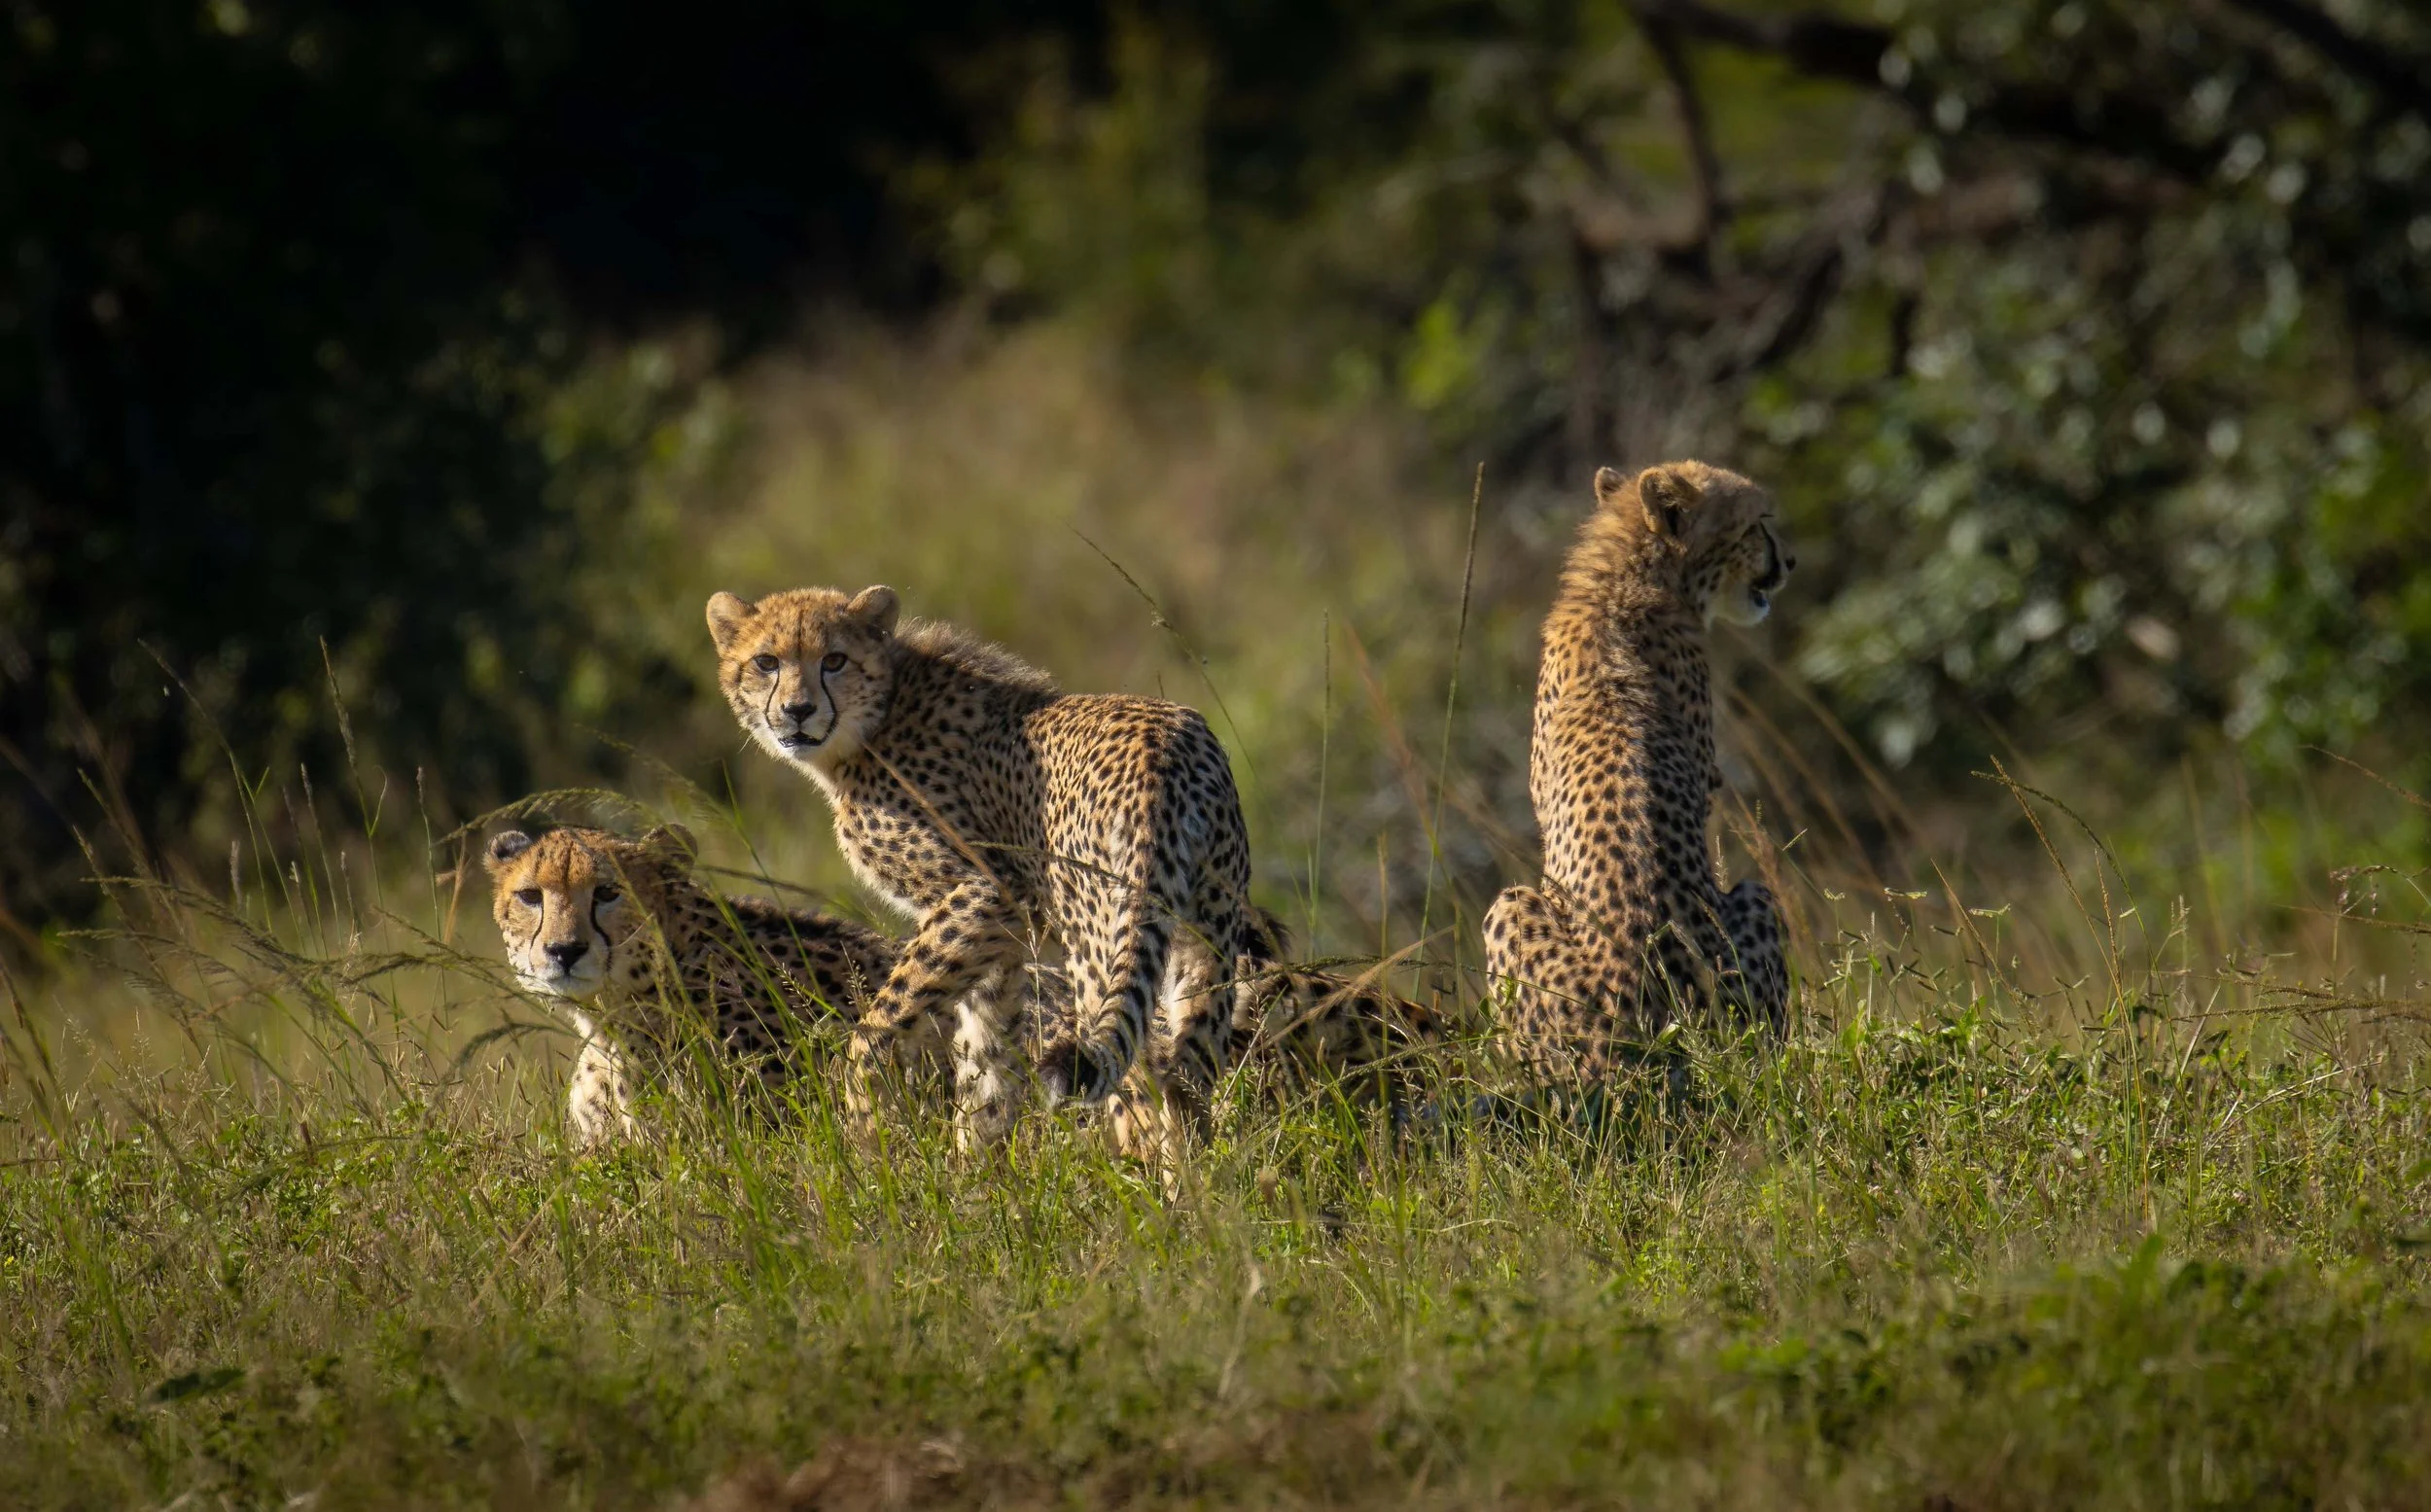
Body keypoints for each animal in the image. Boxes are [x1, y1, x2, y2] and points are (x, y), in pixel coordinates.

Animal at [705, 584, 1258, 1160]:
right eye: (766, 662)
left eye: (833, 660)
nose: (797, 710)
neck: (876, 718)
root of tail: (1164, 747)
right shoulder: (999, 939)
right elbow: (987, 1053)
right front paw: (976, 1168)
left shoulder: (989, 891)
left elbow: (879, 1028)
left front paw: (868, 1142)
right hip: (1206, 934)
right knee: (1185, 1077)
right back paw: (1201, 1185)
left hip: (1098, 942)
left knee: (1138, 1080)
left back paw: (1142, 1179)